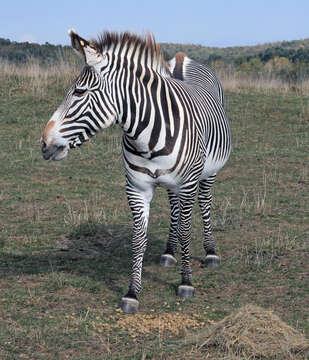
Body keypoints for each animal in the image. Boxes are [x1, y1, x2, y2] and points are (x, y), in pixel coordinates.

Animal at [39, 29, 230, 314]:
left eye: (80, 92)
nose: (44, 144)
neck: (147, 136)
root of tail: (182, 60)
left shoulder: (187, 184)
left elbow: (187, 231)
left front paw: (186, 282)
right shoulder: (137, 188)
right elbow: (138, 238)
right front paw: (132, 293)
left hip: (207, 173)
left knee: (205, 204)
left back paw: (210, 252)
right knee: (174, 207)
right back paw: (169, 252)